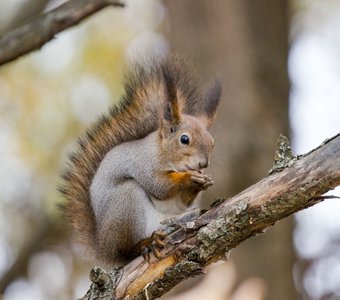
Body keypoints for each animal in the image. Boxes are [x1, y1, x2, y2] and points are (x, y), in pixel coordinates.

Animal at [60, 54, 222, 268]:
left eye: (212, 142)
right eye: (184, 139)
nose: (204, 164)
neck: (163, 152)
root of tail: (103, 247)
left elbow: (179, 204)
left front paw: (203, 182)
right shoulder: (144, 163)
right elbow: (159, 186)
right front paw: (188, 178)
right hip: (126, 203)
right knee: (127, 250)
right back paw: (146, 243)